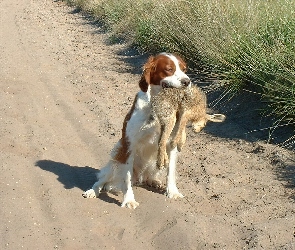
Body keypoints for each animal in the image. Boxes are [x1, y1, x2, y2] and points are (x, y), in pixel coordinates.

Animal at [82, 51, 192, 208]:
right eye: (169, 69)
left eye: (184, 69)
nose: (187, 81)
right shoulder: (129, 146)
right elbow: (126, 178)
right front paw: (129, 200)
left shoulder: (171, 144)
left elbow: (170, 172)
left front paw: (172, 192)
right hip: (117, 156)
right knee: (102, 179)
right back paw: (93, 191)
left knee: (148, 176)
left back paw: (154, 181)